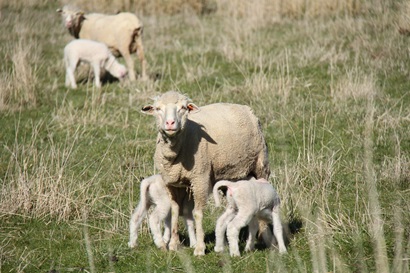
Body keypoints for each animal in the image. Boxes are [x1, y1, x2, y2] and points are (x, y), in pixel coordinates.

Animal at [141, 91, 270, 255]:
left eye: (183, 108)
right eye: (158, 109)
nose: (170, 123)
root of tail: (244, 107)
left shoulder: (200, 179)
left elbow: (197, 213)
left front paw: (200, 248)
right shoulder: (171, 182)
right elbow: (175, 211)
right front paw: (174, 244)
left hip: (261, 165)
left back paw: (264, 236)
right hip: (235, 176)